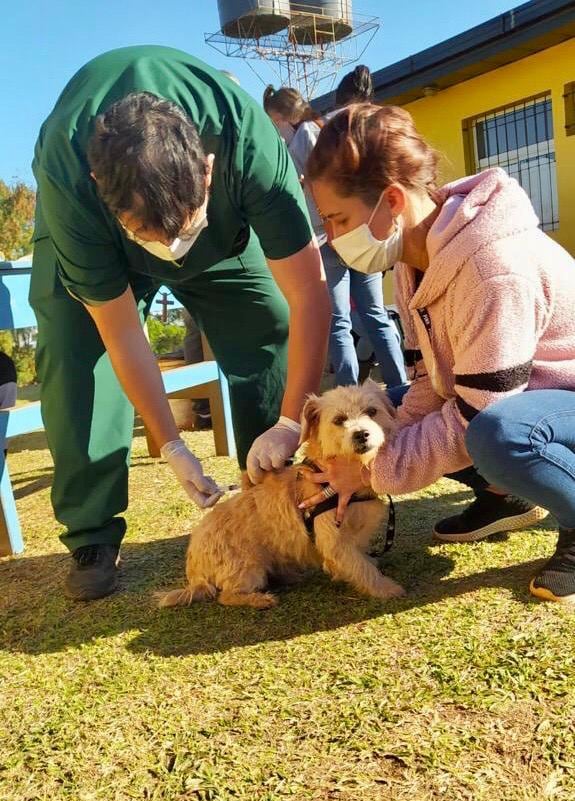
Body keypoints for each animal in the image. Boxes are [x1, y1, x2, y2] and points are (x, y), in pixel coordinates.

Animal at [159, 378, 404, 608]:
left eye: (371, 411)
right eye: (338, 420)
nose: (362, 434)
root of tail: (194, 569)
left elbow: (361, 558)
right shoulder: (334, 542)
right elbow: (360, 567)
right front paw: (385, 587)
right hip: (249, 569)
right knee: (226, 596)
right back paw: (259, 599)